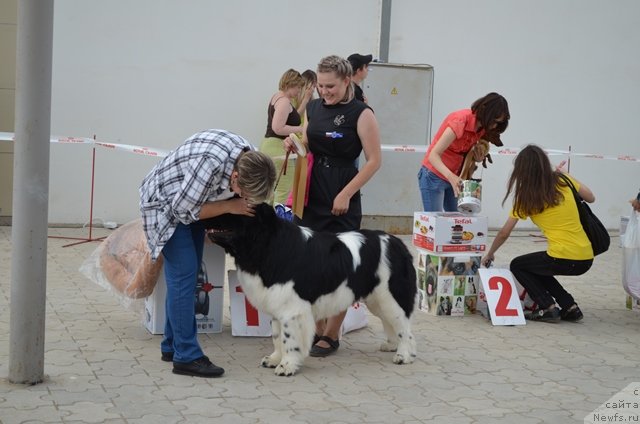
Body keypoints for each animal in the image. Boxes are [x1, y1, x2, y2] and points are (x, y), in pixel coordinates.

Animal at [202, 204, 418, 376]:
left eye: (233, 210)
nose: (205, 215)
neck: (268, 245)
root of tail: (398, 244)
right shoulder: (277, 305)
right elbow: (277, 336)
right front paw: (274, 359)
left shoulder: (292, 310)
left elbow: (289, 339)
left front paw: (287, 366)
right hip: (377, 299)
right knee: (391, 322)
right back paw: (391, 345)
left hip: (391, 295)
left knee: (404, 327)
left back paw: (403, 355)